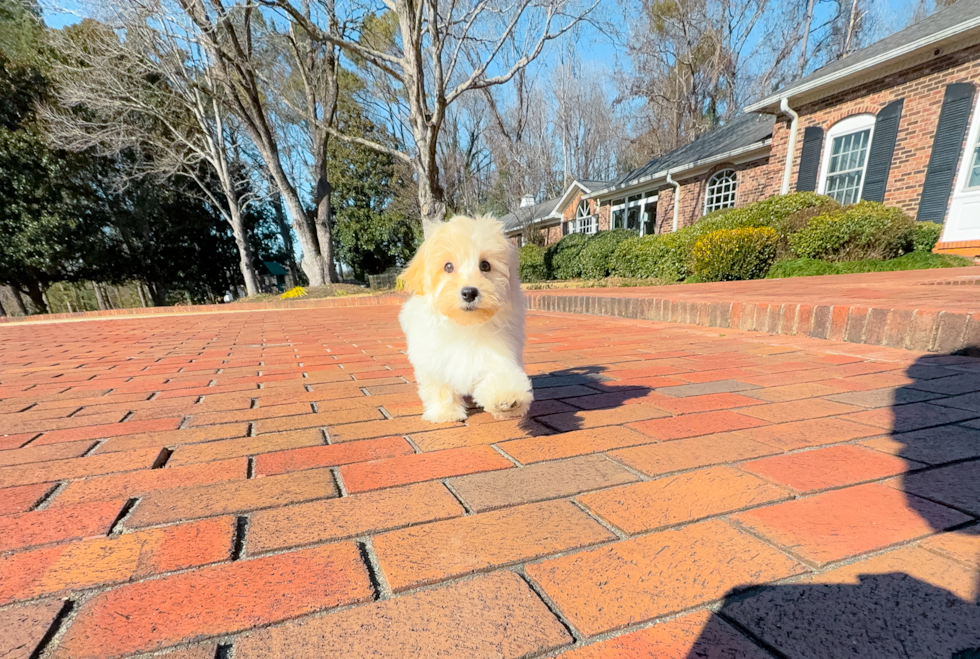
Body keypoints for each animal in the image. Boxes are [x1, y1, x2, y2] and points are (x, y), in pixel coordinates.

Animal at [398, 214, 536, 426]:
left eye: (485, 265)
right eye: (448, 267)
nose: (470, 292)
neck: (465, 325)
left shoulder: (498, 349)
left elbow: (499, 371)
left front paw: (507, 398)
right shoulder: (433, 359)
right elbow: (439, 387)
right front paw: (445, 413)